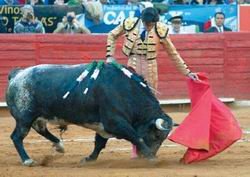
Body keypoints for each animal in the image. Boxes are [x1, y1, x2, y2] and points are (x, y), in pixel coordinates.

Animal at [6, 62, 174, 166]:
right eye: (156, 136)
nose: (141, 157)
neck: (124, 90)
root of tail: (17, 75)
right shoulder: (115, 122)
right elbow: (136, 137)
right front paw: (152, 158)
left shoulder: (104, 126)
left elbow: (99, 143)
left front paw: (89, 159)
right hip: (24, 117)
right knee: (17, 137)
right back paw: (27, 160)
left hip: (37, 117)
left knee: (41, 130)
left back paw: (60, 146)